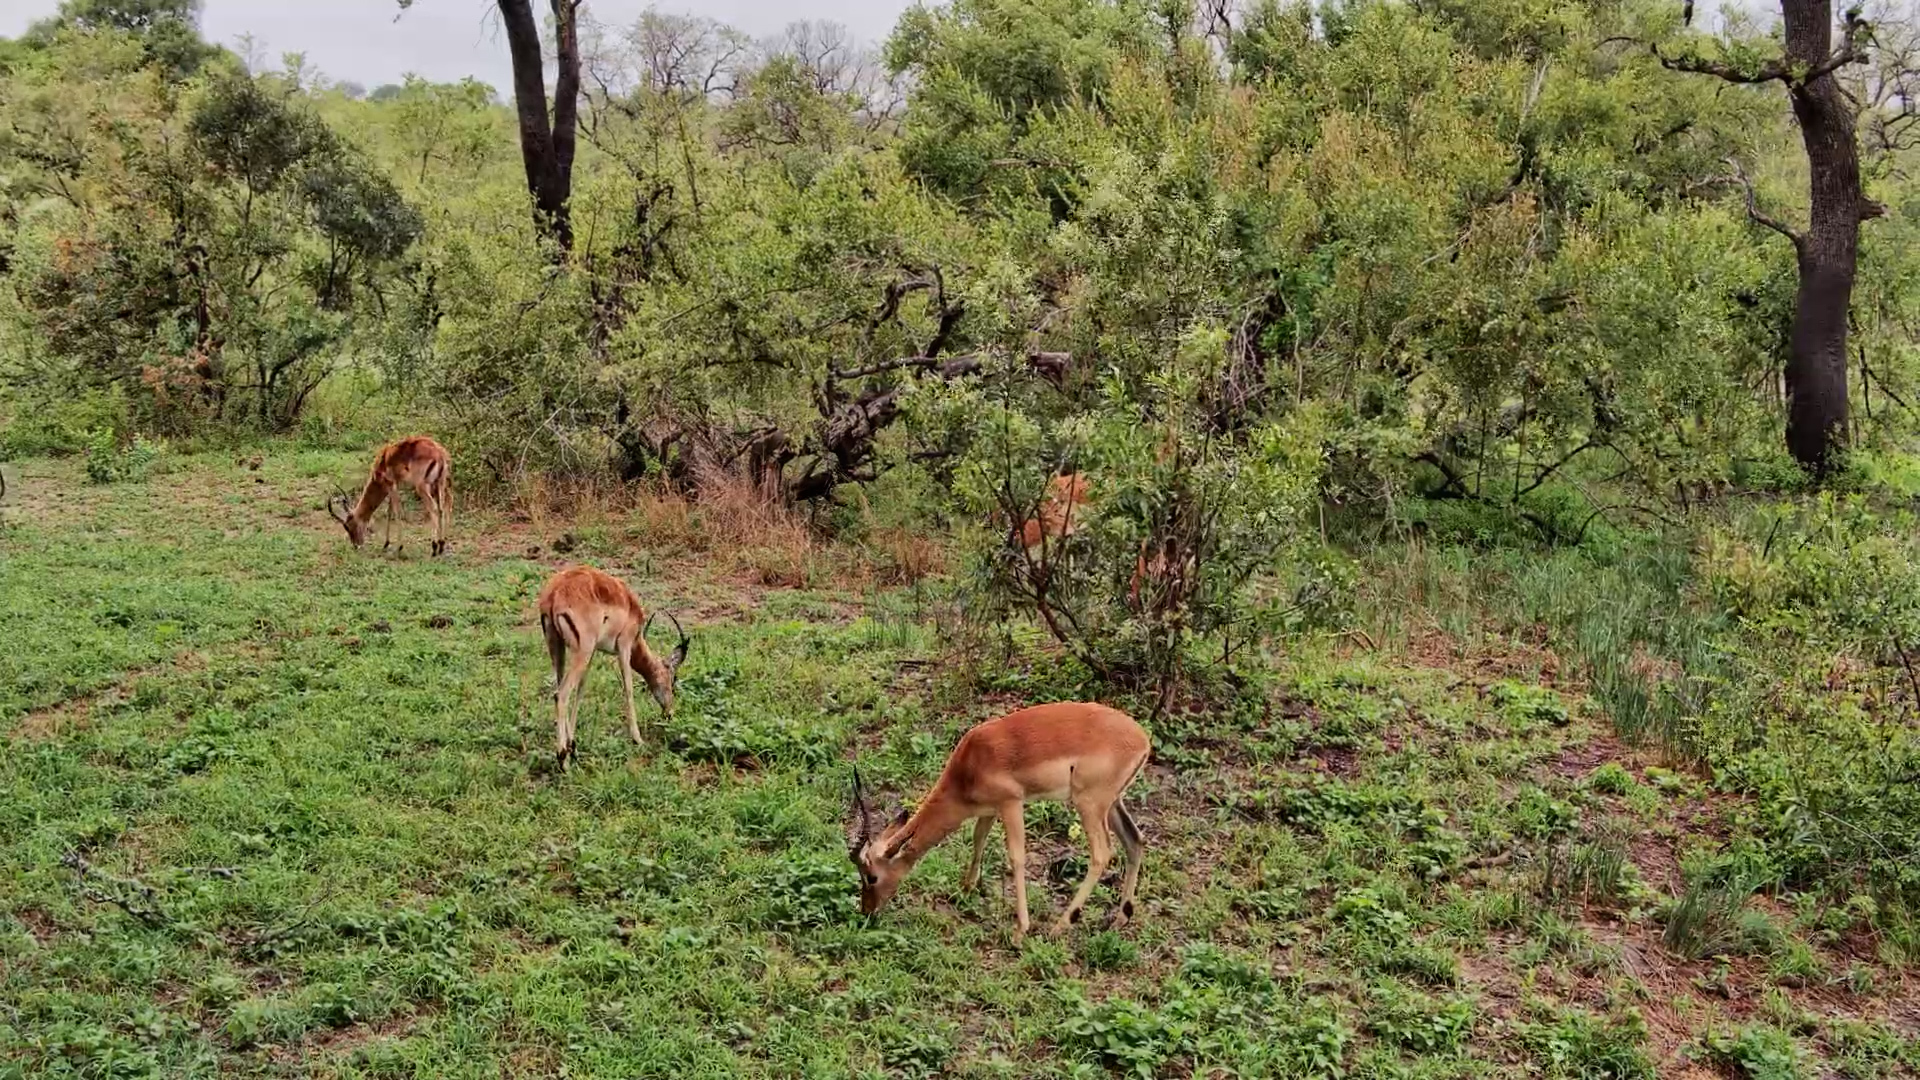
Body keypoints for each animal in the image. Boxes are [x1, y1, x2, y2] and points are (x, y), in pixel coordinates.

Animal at [536, 565, 690, 768]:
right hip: (582, 650)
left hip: (559, 648)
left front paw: (574, 746)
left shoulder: (594, 652)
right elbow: (628, 689)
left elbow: (581, 690)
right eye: (673, 679)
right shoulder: (624, 646)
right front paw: (638, 739)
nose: (669, 713)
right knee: (561, 694)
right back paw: (562, 759)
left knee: (561, 687)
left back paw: (567, 753)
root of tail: (554, 593)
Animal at [848, 701, 1150, 939]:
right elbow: (978, 839)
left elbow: (1016, 857)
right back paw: (1121, 919)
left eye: (872, 877)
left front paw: (1020, 930)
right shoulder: (989, 809)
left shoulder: (1011, 803)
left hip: (1089, 804)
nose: (866, 911)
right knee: (1135, 840)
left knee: (1102, 854)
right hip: (1112, 804)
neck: (969, 765)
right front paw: (965, 890)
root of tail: (1143, 740)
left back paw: (1060, 926)